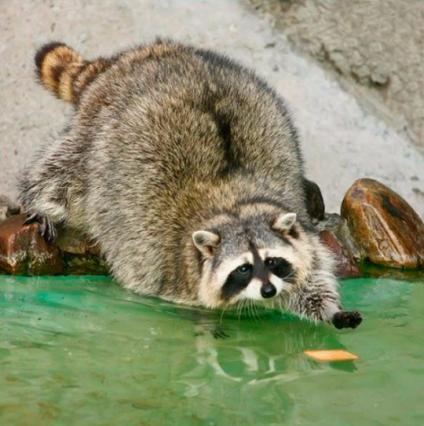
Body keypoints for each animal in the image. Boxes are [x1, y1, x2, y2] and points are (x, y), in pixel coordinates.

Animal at [19, 40, 362, 330]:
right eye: (243, 268)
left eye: (272, 261)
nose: (267, 291)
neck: (234, 204)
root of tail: (145, 54)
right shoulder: (166, 266)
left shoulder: (302, 237)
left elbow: (310, 279)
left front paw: (329, 308)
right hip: (96, 131)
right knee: (66, 174)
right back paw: (40, 199)